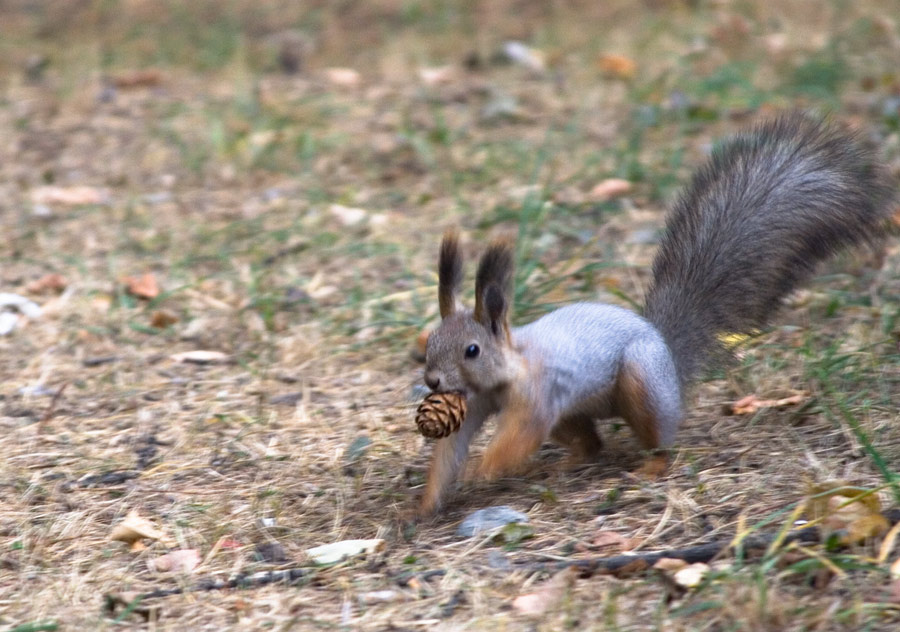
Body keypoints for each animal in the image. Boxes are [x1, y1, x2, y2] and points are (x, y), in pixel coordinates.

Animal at [417, 112, 895, 516]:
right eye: (430, 344)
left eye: (473, 350)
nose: (433, 382)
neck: (509, 370)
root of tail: (668, 355)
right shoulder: (475, 403)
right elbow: (449, 451)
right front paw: (422, 507)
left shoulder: (537, 398)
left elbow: (516, 440)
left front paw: (483, 469)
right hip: (571, 413)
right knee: (590, 444)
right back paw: (567, 464)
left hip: (641, 381)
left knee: (659, 443)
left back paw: (649, 468)